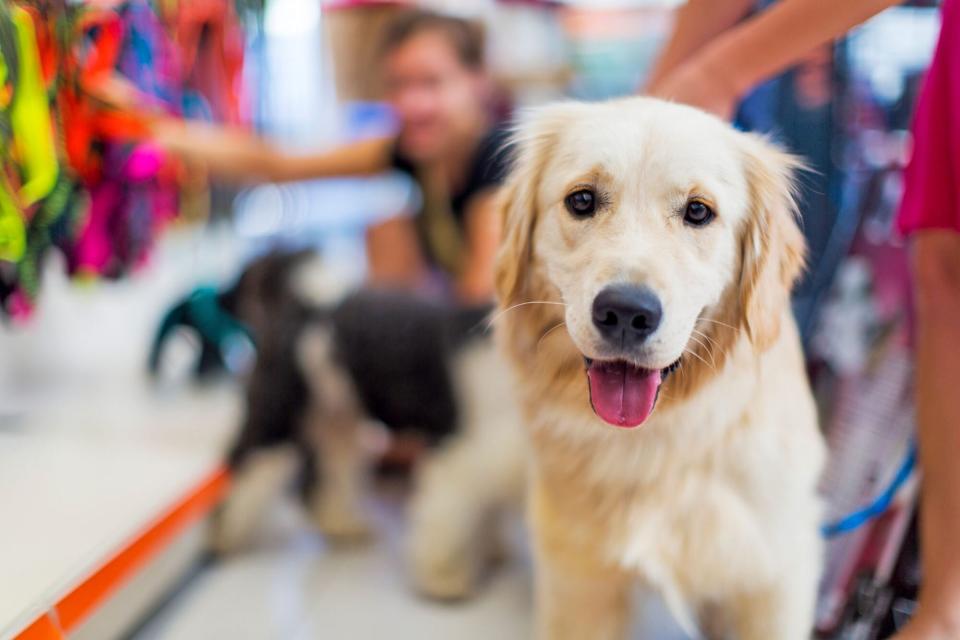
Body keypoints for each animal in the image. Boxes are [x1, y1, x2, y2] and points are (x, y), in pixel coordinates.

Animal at [213, 250, 524, 600]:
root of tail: (311, 304)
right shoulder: (462, 454)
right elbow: (446, 522)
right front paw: (444, 578)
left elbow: (487, 510)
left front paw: (491, 548)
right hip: (278, 416)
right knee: (245, 467)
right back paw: (224, 534)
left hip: (337, 419)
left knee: (324, 480)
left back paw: (341, 523)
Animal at [496, 97, 824, 636]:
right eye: (582, 201)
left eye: (698, 211)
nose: (627, 313)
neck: (655, 444)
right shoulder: (577, 583)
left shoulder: (773, 578)